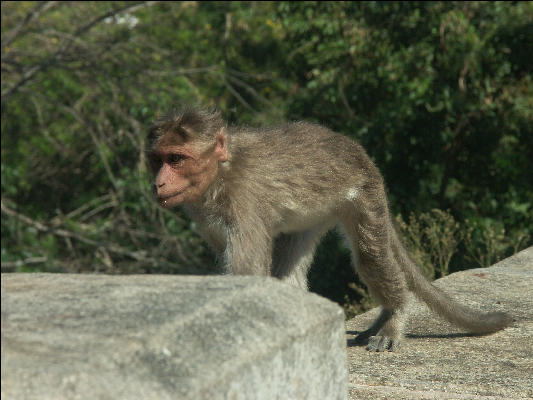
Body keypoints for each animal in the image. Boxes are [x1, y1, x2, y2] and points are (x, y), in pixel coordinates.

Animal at [147, 108, 512, 352]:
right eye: (157, 159)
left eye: (176, 159)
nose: (159, 182)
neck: (220, 172)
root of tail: (356, 149)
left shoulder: (244, 200)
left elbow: (247, 273)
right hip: (315, 214)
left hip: (363, 192)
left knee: (369, 254)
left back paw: (394, 316)